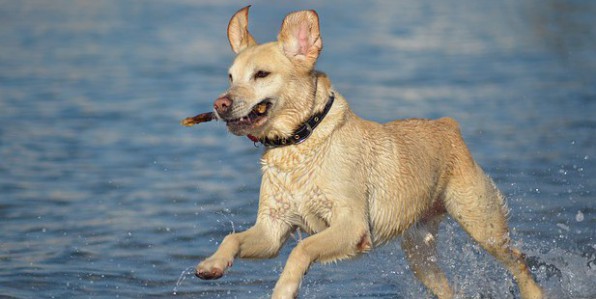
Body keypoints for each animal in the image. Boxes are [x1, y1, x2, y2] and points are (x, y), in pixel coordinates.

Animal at [197, 5, 544, 298]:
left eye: (262, 74)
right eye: (230, 77)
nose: (220, 103)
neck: (300, 142)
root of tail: (449, 125)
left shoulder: (351, 226)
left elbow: (302, 248)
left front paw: (284, 289)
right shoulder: (273, 230)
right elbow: (232, 237)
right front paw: (212, 264)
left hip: (482, 224)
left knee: (519, 262)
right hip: (419, 253)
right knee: (447, 289)